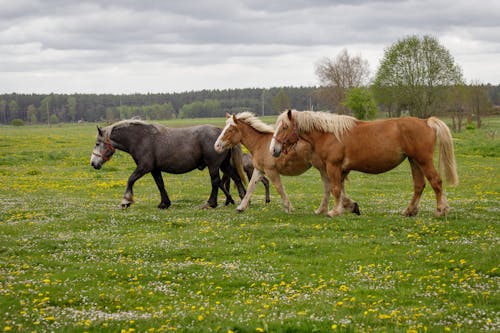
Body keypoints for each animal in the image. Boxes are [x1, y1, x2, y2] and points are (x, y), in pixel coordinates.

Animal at [91, 118, 247, 208]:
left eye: (98, 143)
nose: (93, 163)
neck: (141, 138)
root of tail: (221, 132)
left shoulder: (144, 167)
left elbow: (130, 180)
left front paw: (126, 200)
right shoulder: (154, 169)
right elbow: (160, 184)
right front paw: (164, 203)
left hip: (214, 166)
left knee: (215, 182)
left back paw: (211, 203)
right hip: (224, 165)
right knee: (235, 178)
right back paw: (243, 198)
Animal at [270, 110, 458, 217]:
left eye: (285, 127)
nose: (273, 149)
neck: (330, 134)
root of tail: (426, 122)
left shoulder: (333, 166)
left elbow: (335, 189)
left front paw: (335, 211)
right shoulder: (341, 170)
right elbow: (340, 190)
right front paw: (349, 207)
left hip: (423, 160)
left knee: (436, 182)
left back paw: (441, 210)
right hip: (414, 162)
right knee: (419, 185)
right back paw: (409, 211)